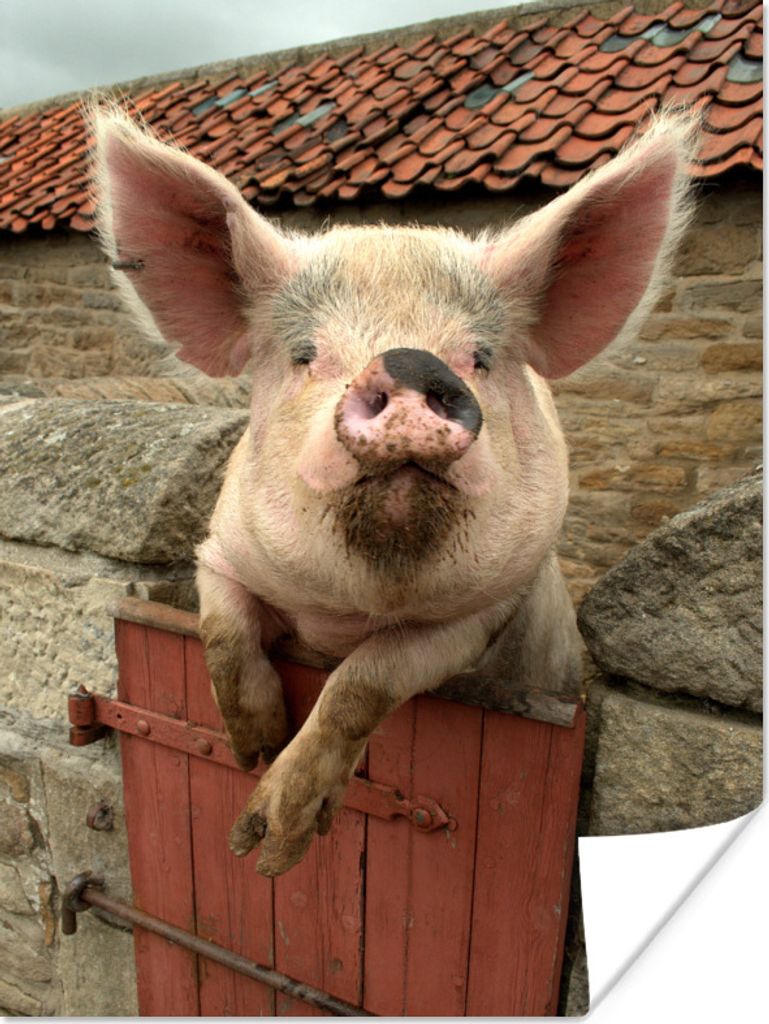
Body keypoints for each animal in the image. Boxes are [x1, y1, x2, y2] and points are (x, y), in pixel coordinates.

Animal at [93, 104, 695, 876]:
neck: (352, 609)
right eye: (305, 354)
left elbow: (363, 682)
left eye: (480, 355)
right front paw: (252, 749)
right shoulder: (221, 551)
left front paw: (267, 849)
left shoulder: (482, 612)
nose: (410, 364)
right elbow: (221, 630)